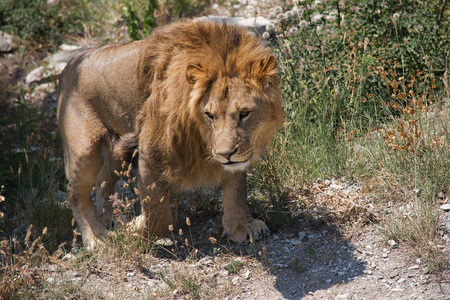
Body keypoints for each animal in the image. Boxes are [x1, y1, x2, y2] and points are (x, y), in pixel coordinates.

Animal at [55, 18, 282, 248]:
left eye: (244, 113)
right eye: (209, 115)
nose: (225, 154)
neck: (201, 135)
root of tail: (72, 62)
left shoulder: (238, 154)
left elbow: (236, 190)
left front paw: (241, 225)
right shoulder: (149, 154)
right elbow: (159, 219)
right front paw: (135, 229)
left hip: (117, 150)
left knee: (103, 180)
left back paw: (109, 219)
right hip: (84, 152)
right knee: (75, 193)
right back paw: (96, 238)